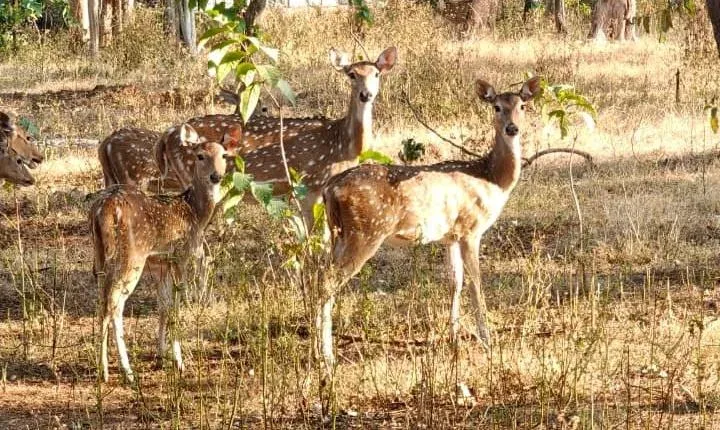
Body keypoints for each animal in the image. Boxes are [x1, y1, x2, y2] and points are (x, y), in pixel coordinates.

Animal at [90, 124, 236, 383]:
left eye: (224, 155)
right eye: (200, 156)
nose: (216, 176)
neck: (194, 213)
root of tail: (103, 210)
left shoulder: (160, 264)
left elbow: (163, 306)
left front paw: (161, 354)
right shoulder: (180, 257)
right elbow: (176, 307)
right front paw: (179, 361)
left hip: (100, 256)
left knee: (103, 301)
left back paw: (106, 367)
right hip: (131, 257)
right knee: (115, 305)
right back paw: (122, 371)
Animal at [318, 76, 541, 370]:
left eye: (522, 106)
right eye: (496, 107)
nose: (512, 128)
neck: (493, 179)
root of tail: (330, 189)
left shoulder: (451, 235)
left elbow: (455, 282)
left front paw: (454, 337)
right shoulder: (471, 228)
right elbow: (476, 283)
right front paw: (487, 340)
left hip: (339, 234)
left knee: (318, 275)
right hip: (366, 231)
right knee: (328, 281)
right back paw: (327, 356)